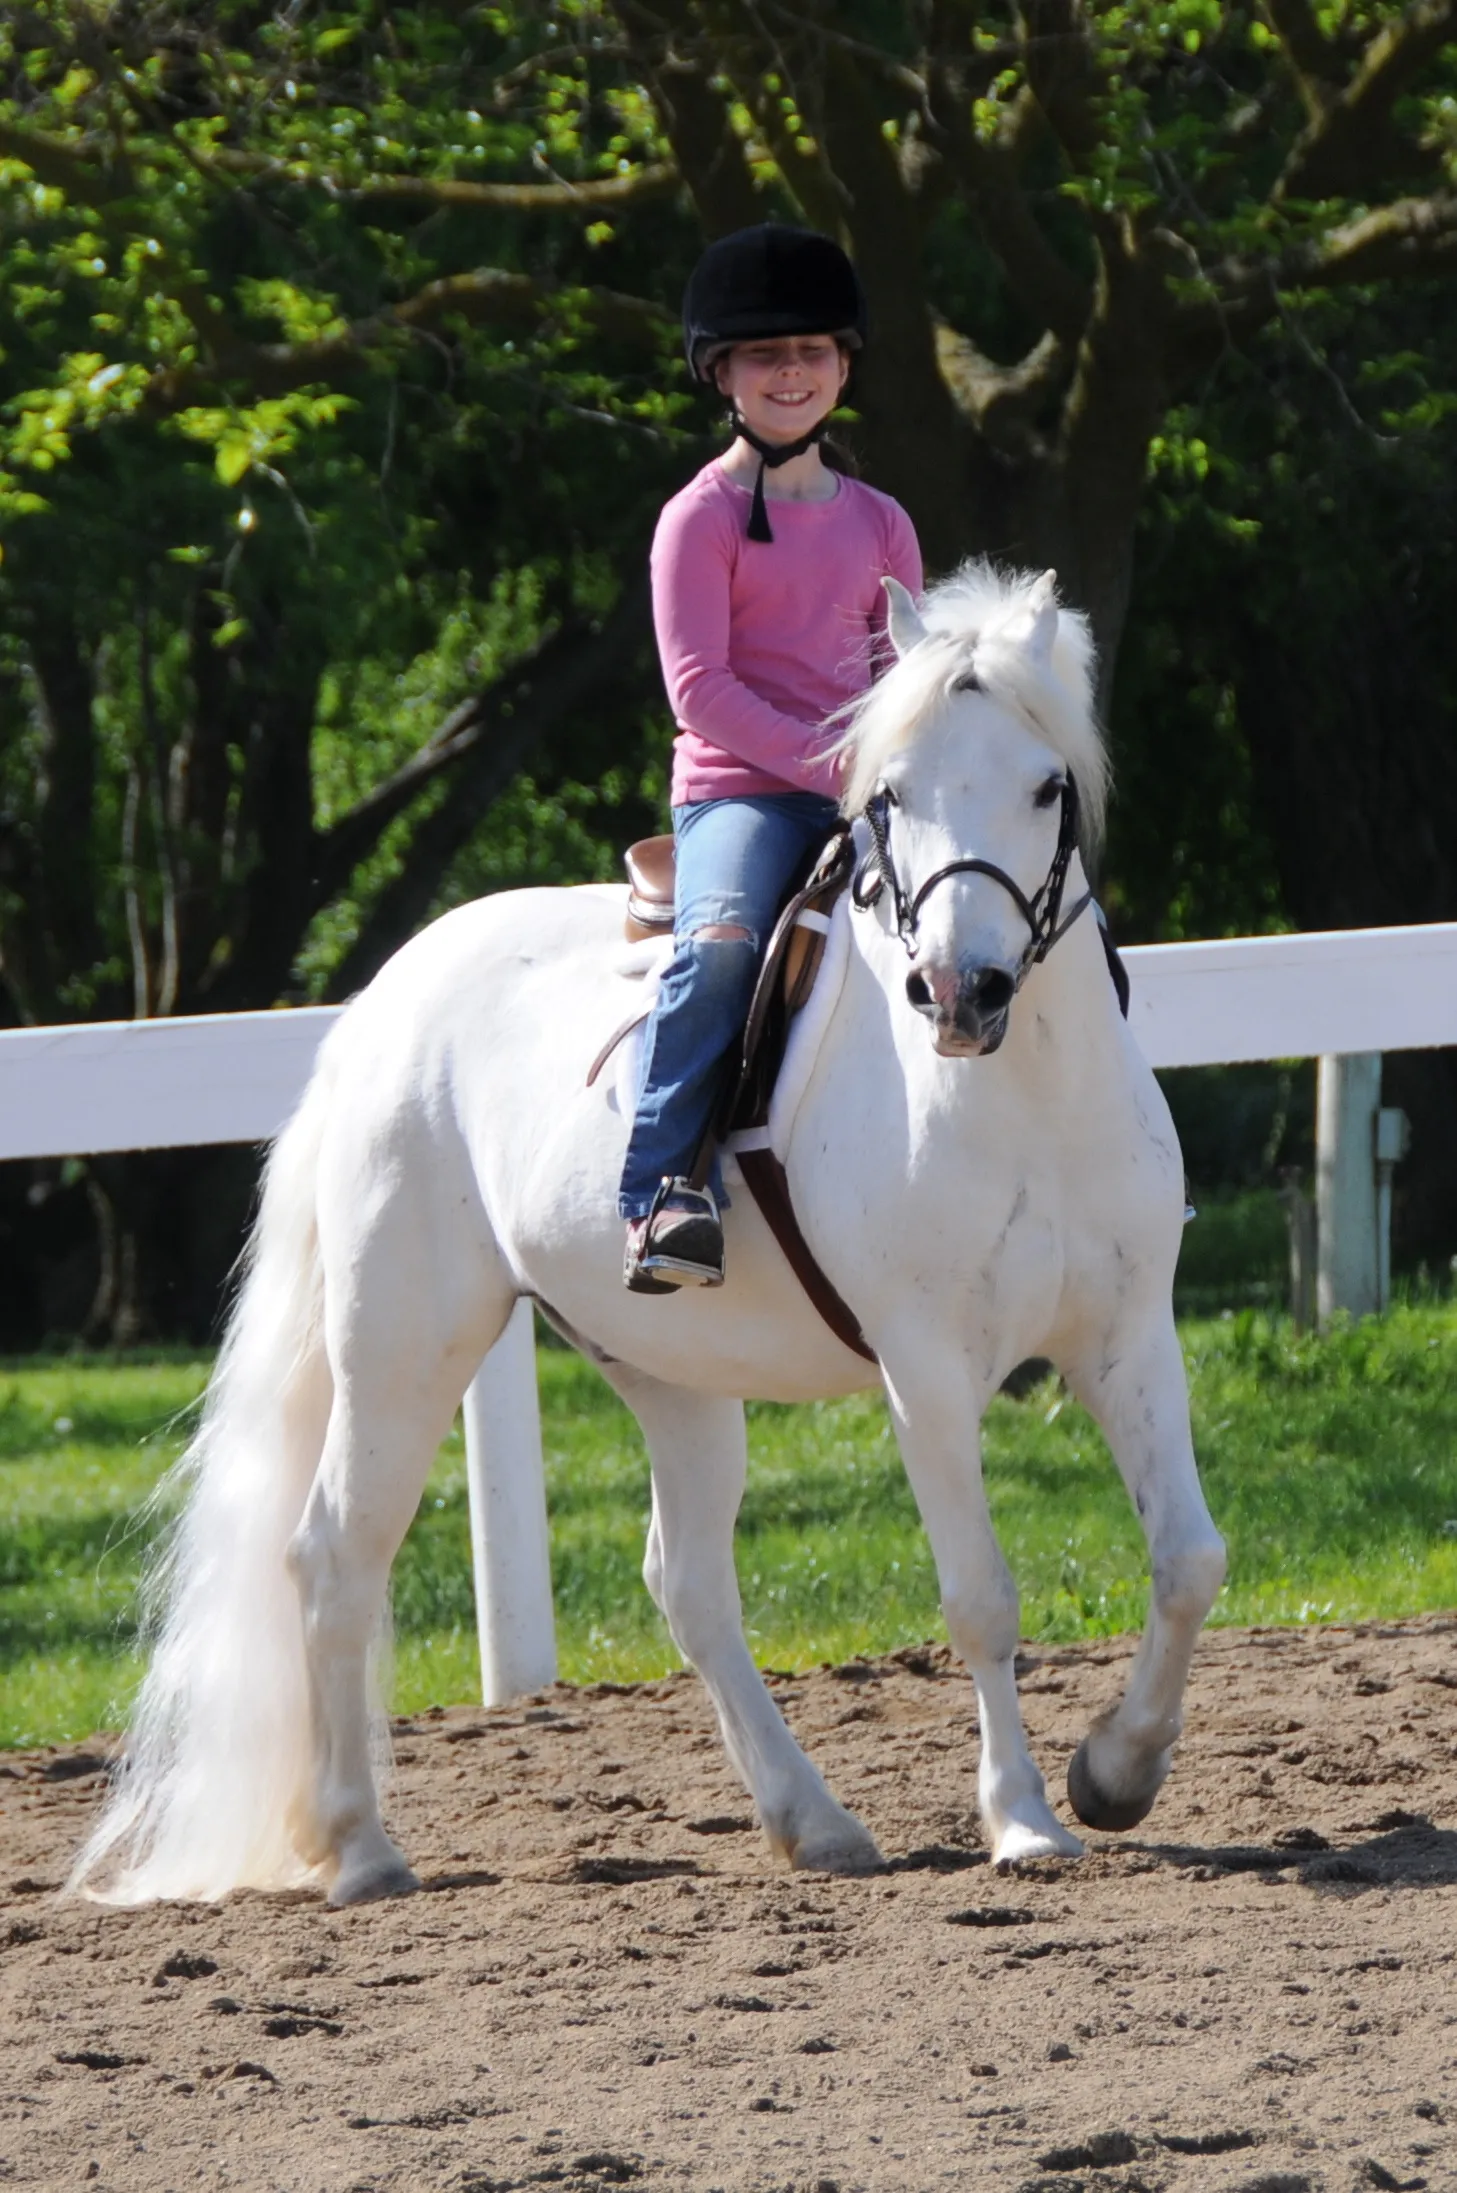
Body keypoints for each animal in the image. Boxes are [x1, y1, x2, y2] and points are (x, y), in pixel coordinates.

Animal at [69, 563, 1226, 1908]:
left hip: (667, 1373)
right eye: (889, 793)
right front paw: (1025, 1818)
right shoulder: (928, 1375)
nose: (957, 994)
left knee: (687, 1585)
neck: (1019, 1094)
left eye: (1045, 786)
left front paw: (1117, 1772)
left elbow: (1187, 1560)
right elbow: (980, 1597)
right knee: (334, 1553)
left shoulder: (1128, 1339)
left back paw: (813, 1823)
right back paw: (359, 1845)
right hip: (401, 1350)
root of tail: (381, 1002)